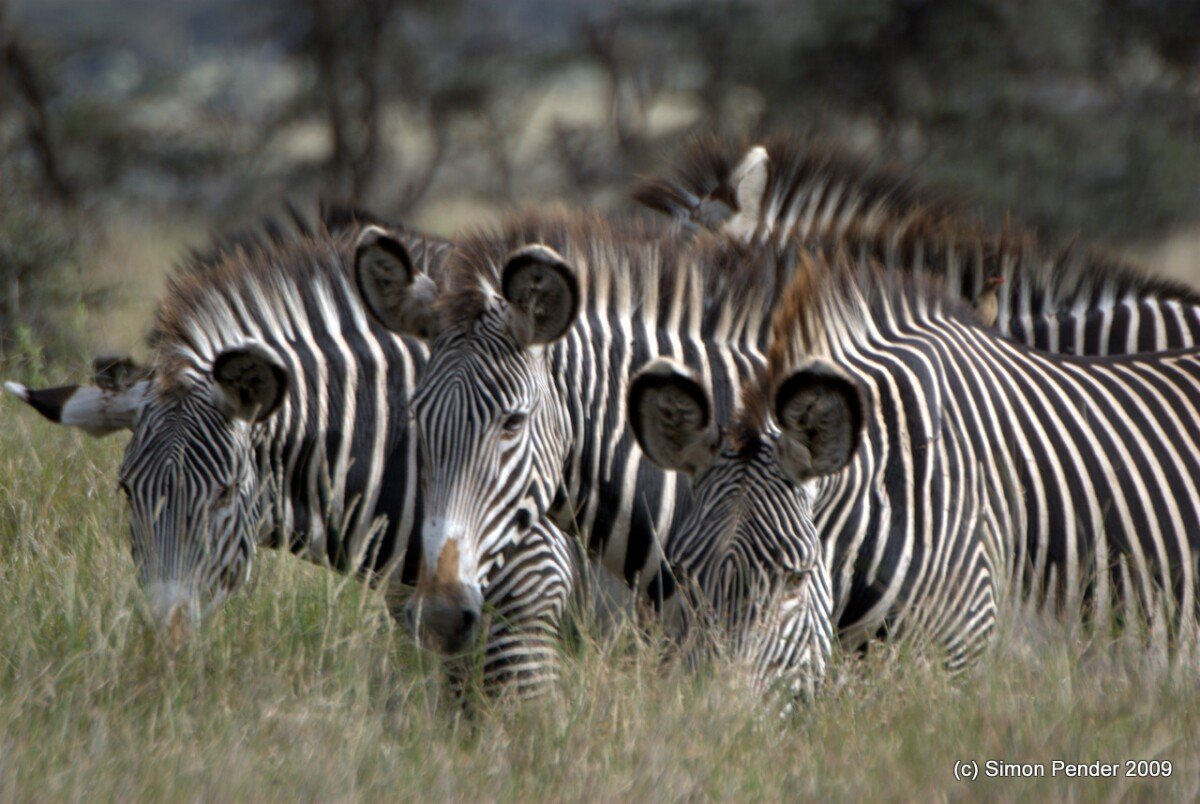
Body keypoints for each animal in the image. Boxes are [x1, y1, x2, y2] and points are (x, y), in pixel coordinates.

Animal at [5, 208, 576, 695]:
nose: (167, 652)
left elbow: (519, 721)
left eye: (225, 493)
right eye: (127, 492)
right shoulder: (436, 614)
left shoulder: (532, 595)